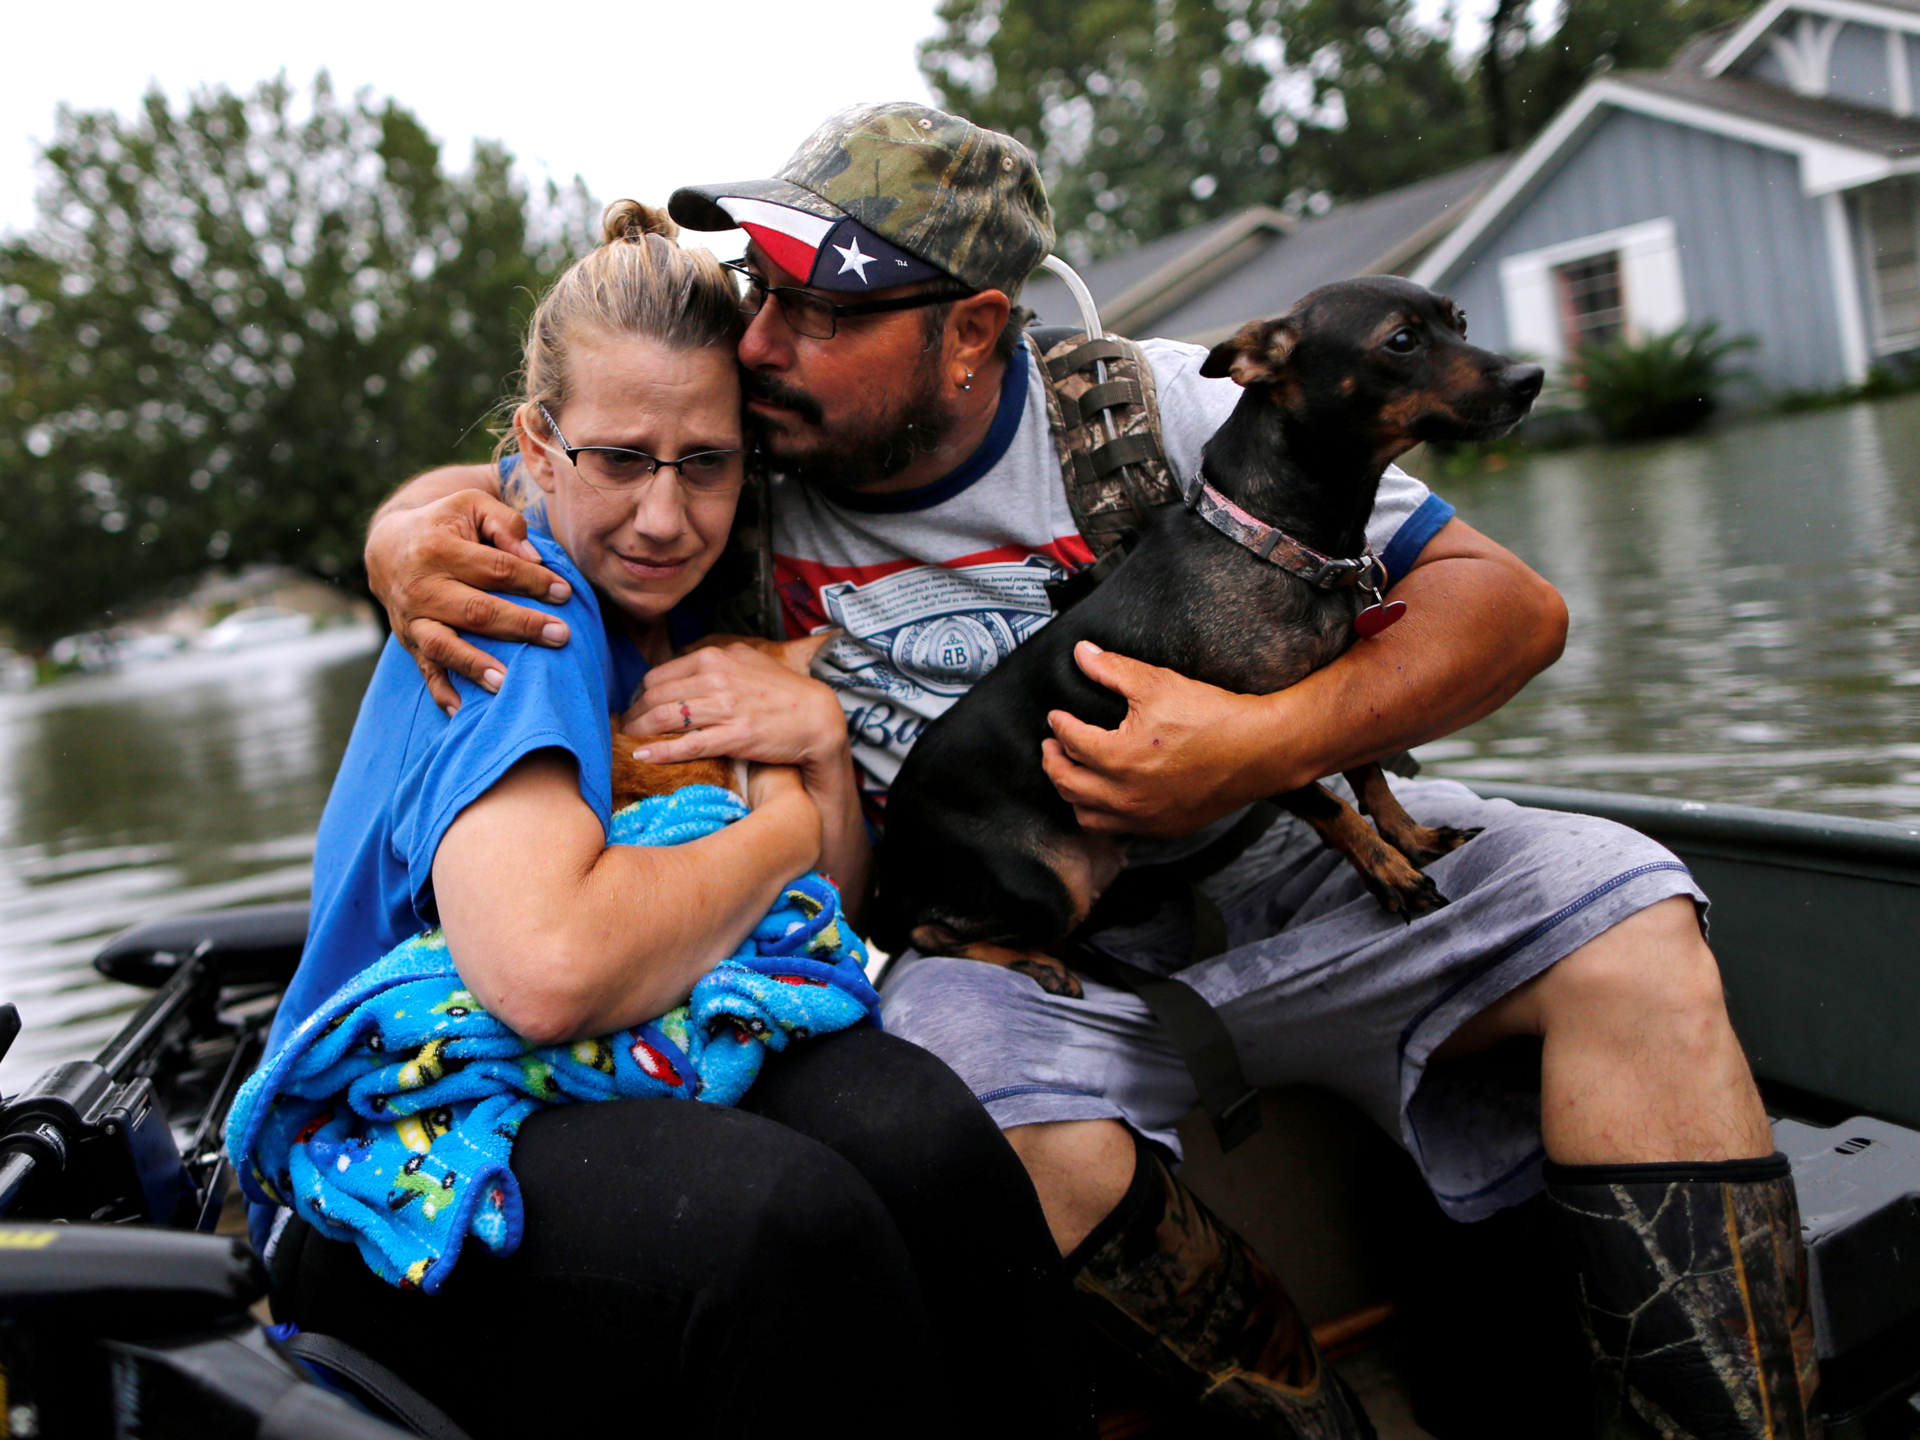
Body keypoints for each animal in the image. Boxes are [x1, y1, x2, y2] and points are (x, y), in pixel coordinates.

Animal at [879, 284, 1536, 1006]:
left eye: (1460, 322)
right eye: (1401, 341)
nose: (1530, 378)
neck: (1271, 544)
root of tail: (895, 844)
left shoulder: (1332, 712)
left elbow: (1369, 776)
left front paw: (1409, 839)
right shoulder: (1257, 750)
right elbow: (1332, 804)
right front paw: (1387, 871)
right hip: (1046, 885)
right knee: (931, 933)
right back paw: (1038, 962)